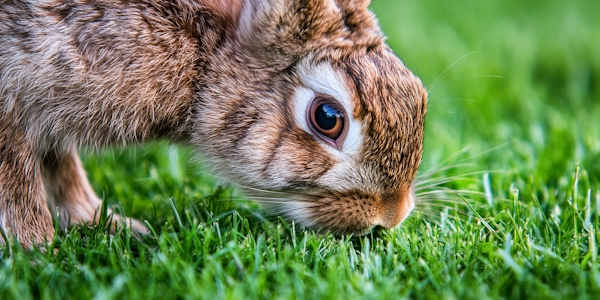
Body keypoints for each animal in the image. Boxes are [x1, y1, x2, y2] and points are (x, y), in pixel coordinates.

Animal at [0, 0, 426, 248]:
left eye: (419, 94)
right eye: (327, 119)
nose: (393, 214)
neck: (202, 57)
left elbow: (59, 162)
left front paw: (99, 222)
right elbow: (18, 173)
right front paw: (37, 249)